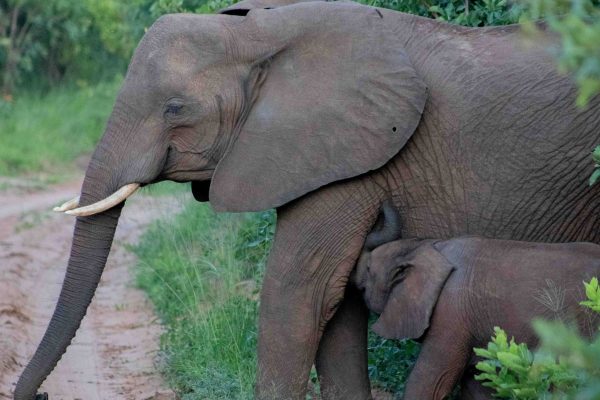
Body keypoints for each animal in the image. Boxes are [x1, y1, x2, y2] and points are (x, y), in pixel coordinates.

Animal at [356, 205, 600, 398]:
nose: (382, 204)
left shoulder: (450, 313)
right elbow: (478, 386)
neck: (427, 246)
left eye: (368, 269)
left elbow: (430, 381)